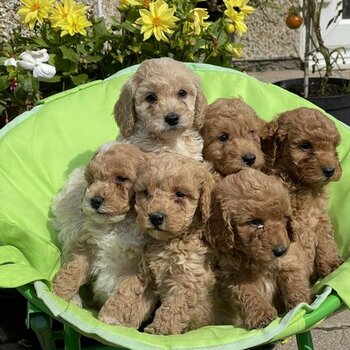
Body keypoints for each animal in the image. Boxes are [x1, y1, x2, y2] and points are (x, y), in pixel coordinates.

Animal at [52, 142, 149, 306]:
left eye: (121, 178)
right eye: (92, 180)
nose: (95, 201)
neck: (116, 225)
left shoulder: (138, 267)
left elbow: (124, 297)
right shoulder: (86, 246)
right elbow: (72, 272)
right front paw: (58, 295)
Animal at [204, 168, 310, 330]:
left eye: (284, 218)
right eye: (255, 222)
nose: (280, 251)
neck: (255, 258)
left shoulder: (289, 257)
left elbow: (293, 278)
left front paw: (300, 301)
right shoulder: (232, 275)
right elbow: (249, 294)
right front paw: (262, 314)